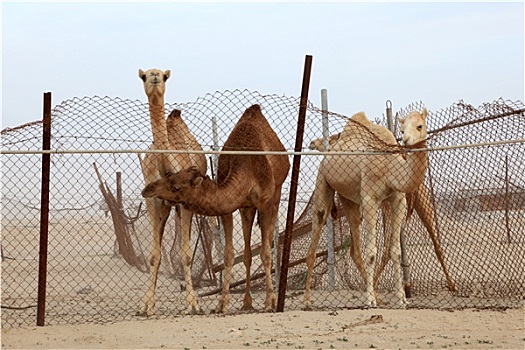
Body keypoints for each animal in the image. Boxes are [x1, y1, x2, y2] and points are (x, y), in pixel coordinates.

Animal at [137, 67, 207, 316]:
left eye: (164, 76)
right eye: (144, 76)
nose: (155, 76)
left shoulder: (187, 203)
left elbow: (186, 255)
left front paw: (193, 304)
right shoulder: (155, 202)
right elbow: (153, 255)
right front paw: (145, 305)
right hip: (165, 208)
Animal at [142, 104, 290, 314]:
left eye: (175, 186)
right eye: (170, 176)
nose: (149, 189)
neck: (246, 164)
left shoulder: (265, 202)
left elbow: (266, 253)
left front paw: (269, 302)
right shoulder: (229, 207)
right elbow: (228, 255)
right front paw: (221, 304)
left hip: (275, 197)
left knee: (267, 243)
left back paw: (269, 299)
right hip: (246, 208)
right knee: (247, 253)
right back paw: (246, 302)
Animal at [304, 110, 428, 308]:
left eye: (419, 126)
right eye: (401, 129)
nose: (407, 140)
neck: (389, 166)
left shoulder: (398, 200)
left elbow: (396, 252)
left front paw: (401, 298)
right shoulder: (370, 199)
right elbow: (371, 253)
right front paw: (370, 300)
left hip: (349, 199)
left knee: (355, 246)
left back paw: (379, 296)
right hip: (323, 179)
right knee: (317, 228)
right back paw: (307, 299)